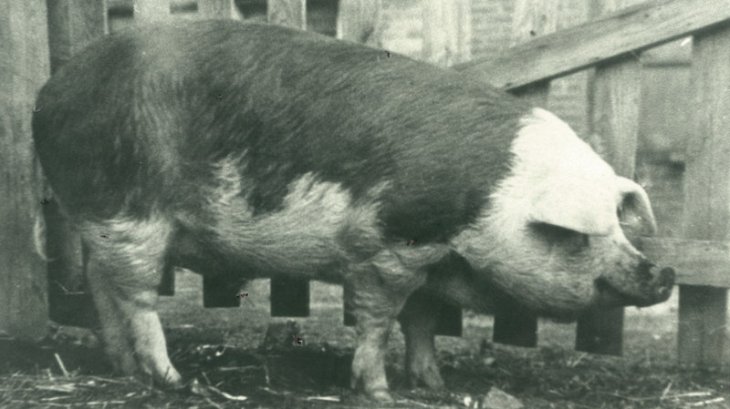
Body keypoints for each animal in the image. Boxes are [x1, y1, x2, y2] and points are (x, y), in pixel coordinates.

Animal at [32, 20, 674, 401]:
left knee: (100, 282)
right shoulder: (388, 246)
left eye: (622, 227)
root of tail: (51, 90)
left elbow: (422, 321)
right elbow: (378, 319)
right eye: (580, 236)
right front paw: (380, 392)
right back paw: (172, 380)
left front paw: (434, 384)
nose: (663, 271)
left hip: (101, 220)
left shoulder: (431, 258)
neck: (494, 198)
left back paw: (122, 369)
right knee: (138, 298)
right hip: (128, 211)